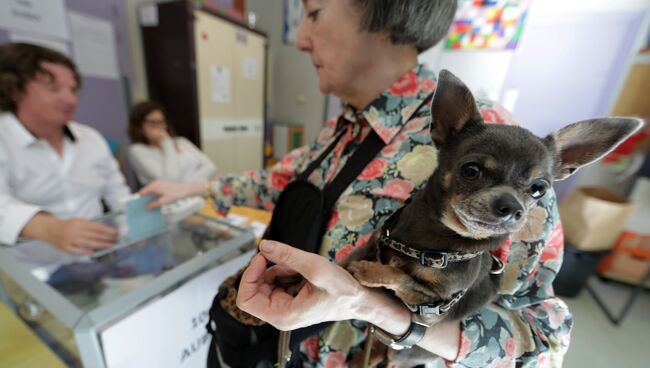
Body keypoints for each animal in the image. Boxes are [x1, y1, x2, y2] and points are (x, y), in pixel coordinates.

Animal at [342, 70, 640, 366]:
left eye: (539, 189)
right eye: (471, 170)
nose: (511, 206)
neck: (435, 243)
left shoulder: (432, 306)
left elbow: (399, 276)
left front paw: (372, 271)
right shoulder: (378, 243)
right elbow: (363, 256)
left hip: (401, 354)